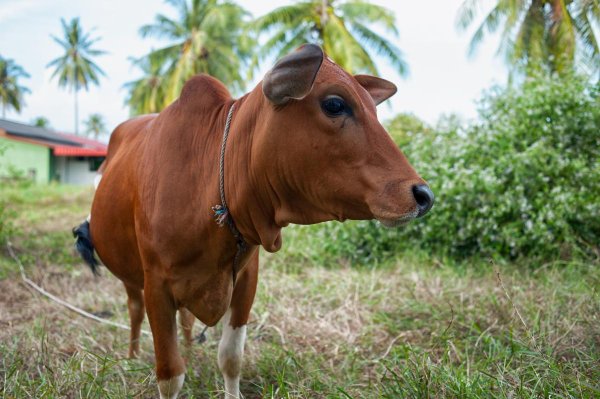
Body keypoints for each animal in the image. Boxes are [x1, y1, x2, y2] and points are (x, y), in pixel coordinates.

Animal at [72, 44, 434, 399]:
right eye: (335, 104)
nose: (423, 195)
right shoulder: (157, 286)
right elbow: (170, 375)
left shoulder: (246, 279)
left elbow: (230, 358)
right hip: (130, 276)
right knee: (134, 311)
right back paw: (132, 358)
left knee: (186, 321)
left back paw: (189, 350)